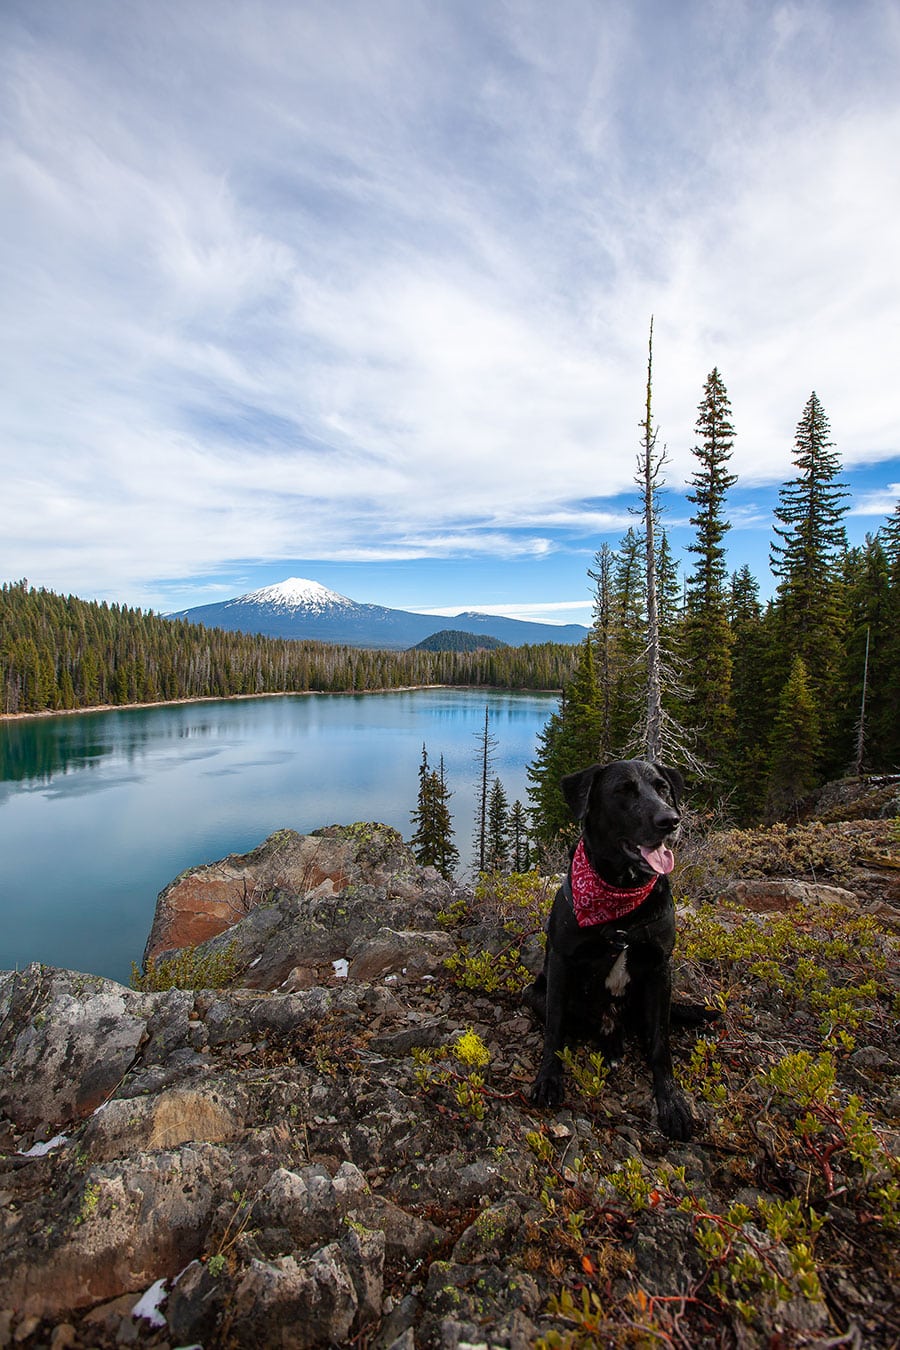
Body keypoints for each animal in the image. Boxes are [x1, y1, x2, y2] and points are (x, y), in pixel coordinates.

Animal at [523, 761, 707, 1139]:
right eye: (623, 790)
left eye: (663, 788)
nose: (670, 820)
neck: (621, 901)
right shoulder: (561, 962)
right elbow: (554, 1029)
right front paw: (548, 1079)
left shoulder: (660, 968)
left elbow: (660, 1044)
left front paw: (672, 1102)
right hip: (535, 993)